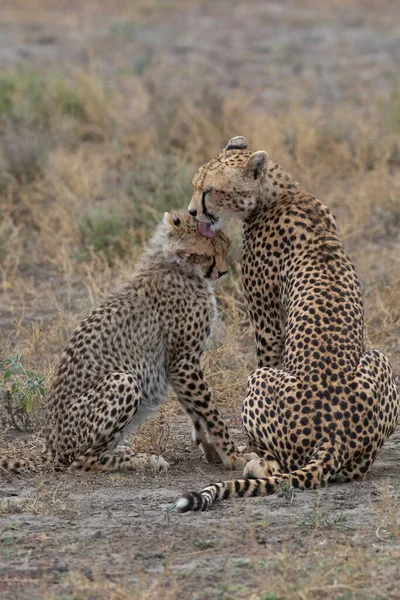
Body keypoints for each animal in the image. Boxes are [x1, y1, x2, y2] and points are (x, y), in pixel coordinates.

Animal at [0, 211, 250, 474]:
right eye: (208, 253)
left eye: (225, 247)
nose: (222, 272)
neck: (176, 265)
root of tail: (51, 449)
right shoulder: (184, 361)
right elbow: (210, 412)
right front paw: (233, 456)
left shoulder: (177, 364)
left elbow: (196, 411)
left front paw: (213, 452)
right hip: (122, 380)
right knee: (83, 461)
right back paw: (143, 460)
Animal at [177, 137, 398, 510]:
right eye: (194, 185)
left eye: (209, 191)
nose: (193, 212)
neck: (281, 194)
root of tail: (334, 437)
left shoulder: (265, 319)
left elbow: (267, 351)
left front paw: (244, 449)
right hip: (379, 359)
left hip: (260, 381)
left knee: (277, 465)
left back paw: (256, 461)